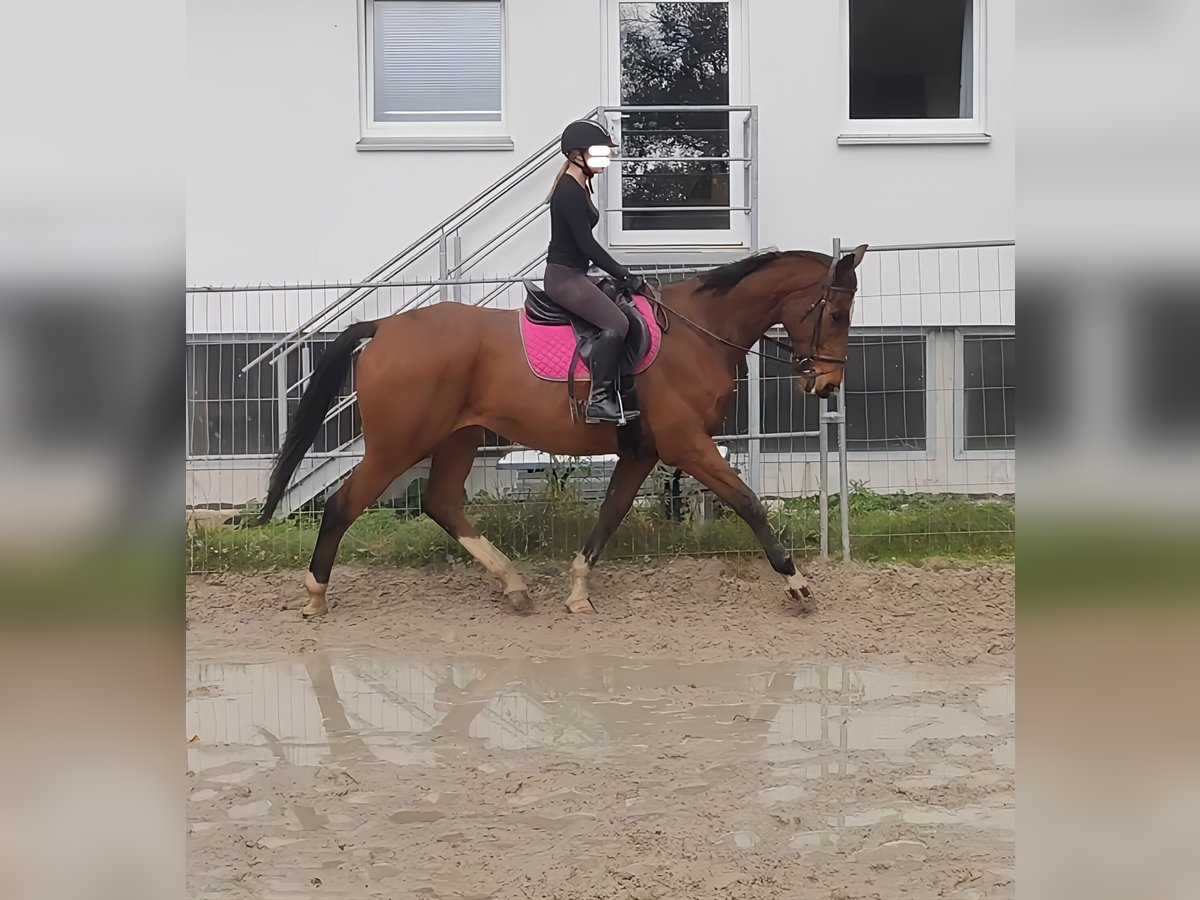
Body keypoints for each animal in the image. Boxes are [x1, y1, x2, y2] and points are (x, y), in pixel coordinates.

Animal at [258, 247, 868, 619]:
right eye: (838, 314)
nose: (827, 384)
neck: (697, 334)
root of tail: (384, 326)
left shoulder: (642, 452)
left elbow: (611, 514)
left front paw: (577, 590)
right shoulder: (686, 444)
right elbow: (749, 503)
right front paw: (796, 583)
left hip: (459, 437)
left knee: (441, 503)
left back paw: (513, 584)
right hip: (397, 445)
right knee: (343, 505)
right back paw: (315, 595)